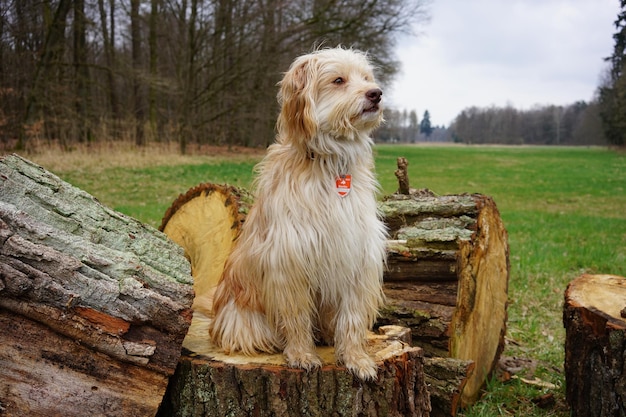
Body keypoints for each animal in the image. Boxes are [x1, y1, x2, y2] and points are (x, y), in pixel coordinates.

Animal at [207, 46, 388, 380]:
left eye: (366, 78)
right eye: (339, 80)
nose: (376, 93)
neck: (329, 163)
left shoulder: (357, 253)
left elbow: (353, 317)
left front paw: (356, 357)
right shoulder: (290, 258)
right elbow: (296, 315)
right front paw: (302, 354)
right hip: (244, 320)